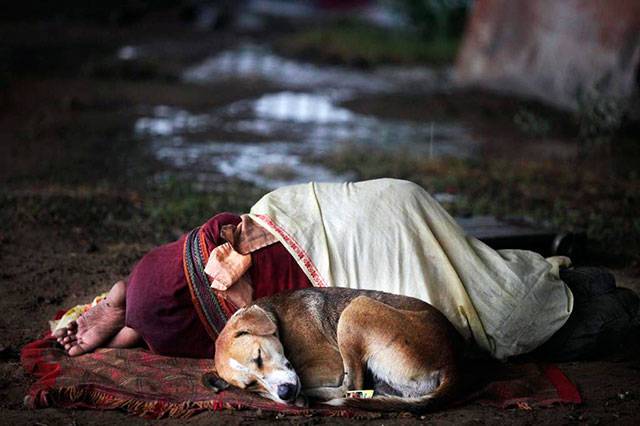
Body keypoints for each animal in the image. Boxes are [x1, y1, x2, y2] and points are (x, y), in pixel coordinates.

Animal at [212, 286, 462, 412]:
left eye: (258, 356)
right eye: (250, 385)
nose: (286, 393)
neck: (275, 318)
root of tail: (454, 360)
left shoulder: (329, 364)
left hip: (357, 308)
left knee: (351, 387)